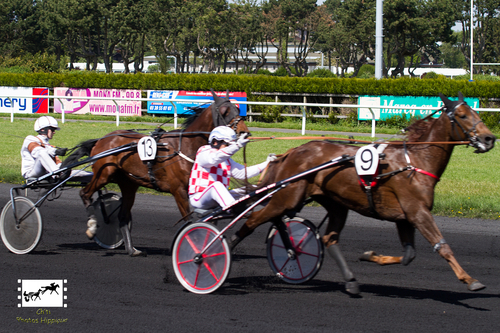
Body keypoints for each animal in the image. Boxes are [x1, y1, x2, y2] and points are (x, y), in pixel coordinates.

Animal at [69, 89, 249, 255]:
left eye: (238, 108)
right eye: (225, 111)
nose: (244, 132)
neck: (185, 146)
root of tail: (101, 140)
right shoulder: (179, 191)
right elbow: (190, 220)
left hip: (129, 184)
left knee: (122, 216)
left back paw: (132, 249)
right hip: (104, 174)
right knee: (84, 193)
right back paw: (92, 228)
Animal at [232, 92, 494, 292]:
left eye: (476, 113)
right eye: (462, 115)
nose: (489, 138)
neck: (414, 161)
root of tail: (292, 151)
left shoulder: (404, 217)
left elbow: (408, 256)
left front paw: (369, 255)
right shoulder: (418, 212)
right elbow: (442, 246)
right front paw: (470, 280)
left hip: (334, 203)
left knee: (328, 238)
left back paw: (349, 281)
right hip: (288, 198)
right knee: (253, 220)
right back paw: (226, 250)